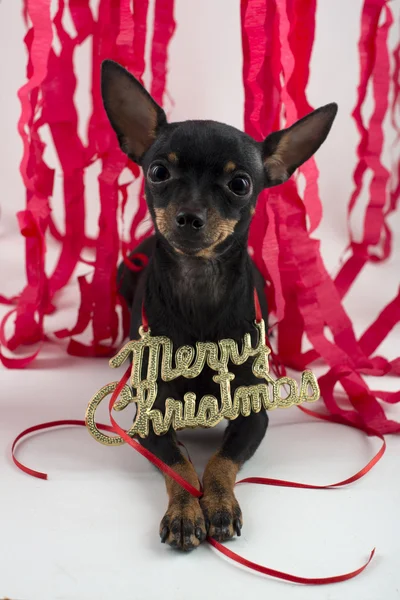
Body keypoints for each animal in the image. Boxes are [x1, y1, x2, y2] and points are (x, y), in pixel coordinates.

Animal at [101, 61, 338, 552]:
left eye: (240, 184)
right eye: (158, 172)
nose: (189, 216)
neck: (199, 288)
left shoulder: (252, 416)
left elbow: (220, 463)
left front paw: (219, 504)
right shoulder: (151, 417)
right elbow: (179, 464)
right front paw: (186, 511)